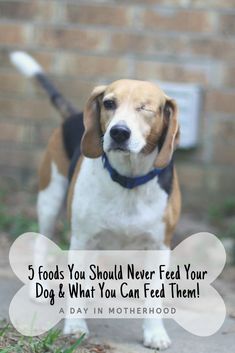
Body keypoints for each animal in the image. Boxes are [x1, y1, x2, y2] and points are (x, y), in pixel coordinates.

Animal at [10, 51, 181, 350]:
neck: (128, 180)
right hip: (49, 199)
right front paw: (75, 326)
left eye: (146, 108)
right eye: (109, 103)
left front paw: (155, 333)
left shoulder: (159, 247)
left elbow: (153, 296)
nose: (119, 132)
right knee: (42, 242)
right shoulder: (82, 239)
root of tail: (74, 115)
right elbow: (75, 290)